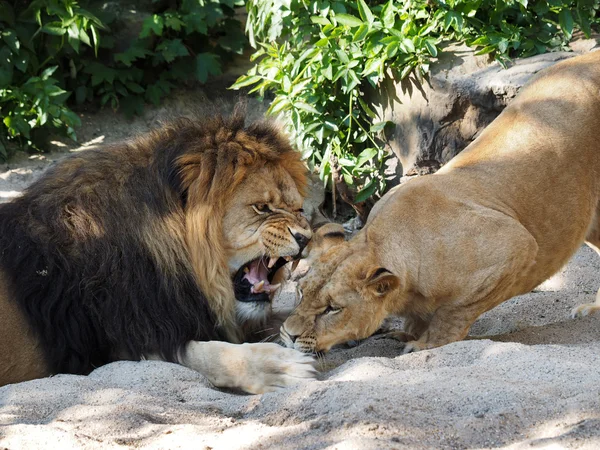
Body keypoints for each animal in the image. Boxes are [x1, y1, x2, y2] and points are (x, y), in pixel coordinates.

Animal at [0, 107, 316, 392]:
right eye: (261, 207)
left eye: (299, 209)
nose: (306, 238)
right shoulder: (123, 341)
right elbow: (209, 353)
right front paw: (280, 367)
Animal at [282, 50, 600, 356]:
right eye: (301, 292)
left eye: (332, 309)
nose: (288, 334)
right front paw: (408, 332)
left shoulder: (515, 245)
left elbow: (453, 312)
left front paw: (425, 344)